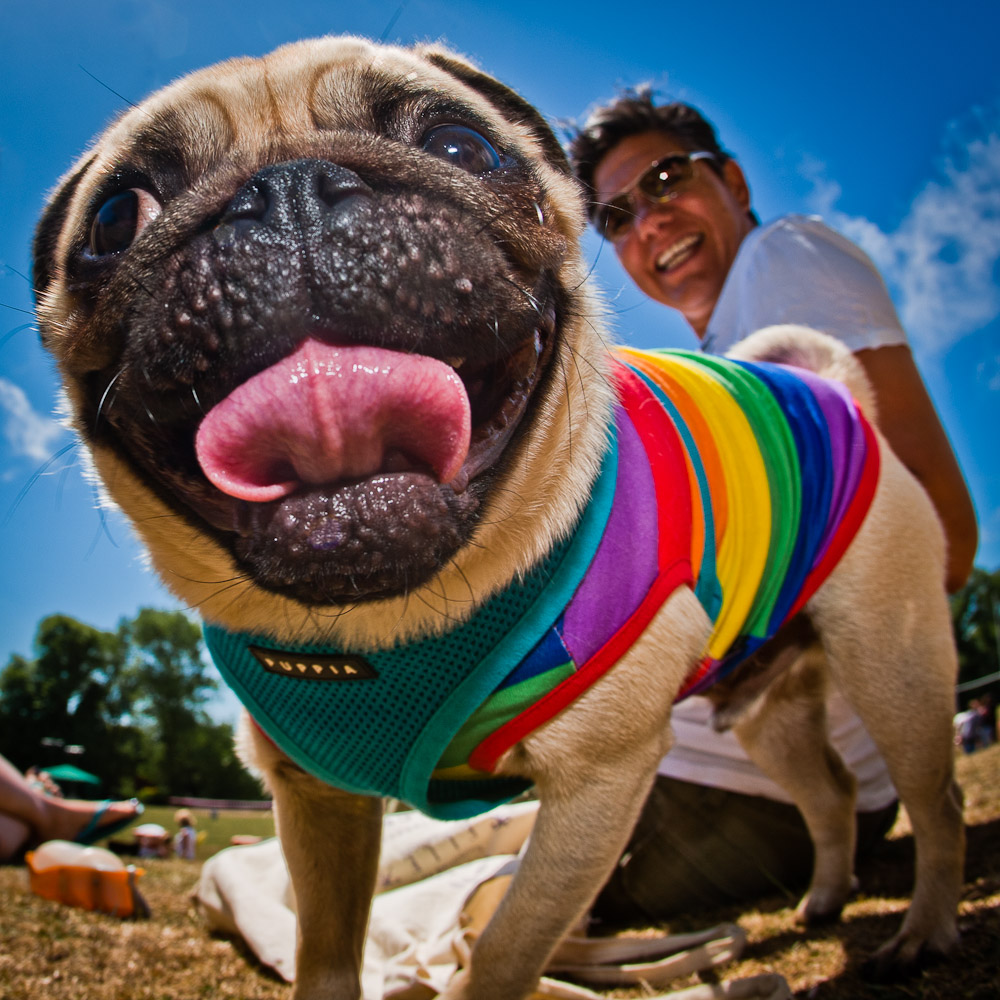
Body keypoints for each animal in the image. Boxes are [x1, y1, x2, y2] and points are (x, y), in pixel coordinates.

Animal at [35, 35, 964, 1000]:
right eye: (115, 220)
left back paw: (924, 931)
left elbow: (507, 946)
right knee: (827, 797)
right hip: (769, 713)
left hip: (893, 667)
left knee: (937, 801)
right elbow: (326, 954)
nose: (286, 191)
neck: (391, 619)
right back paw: (824, 901)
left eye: (460, 146)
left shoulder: (598, 788)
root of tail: (836, 389)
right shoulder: (317, 802)